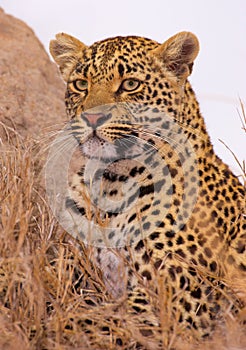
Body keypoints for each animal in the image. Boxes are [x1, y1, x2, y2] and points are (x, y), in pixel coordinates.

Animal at [48, 31, 246, 340]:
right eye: (81, 84)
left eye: (130, 84)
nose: (92, 118)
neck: (111, 181)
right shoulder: (79, 267)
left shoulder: (182, 297)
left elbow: (103, 317)